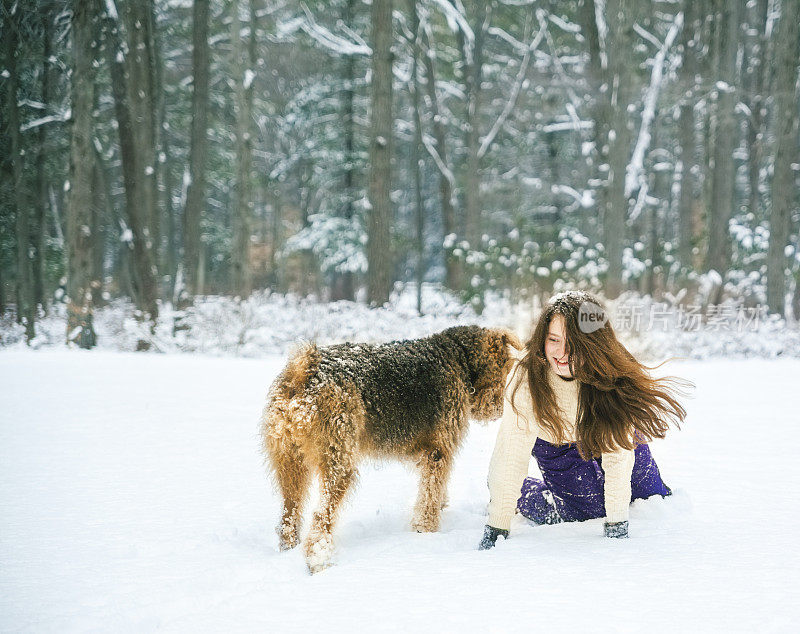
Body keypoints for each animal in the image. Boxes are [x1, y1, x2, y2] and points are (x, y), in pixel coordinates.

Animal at [262, 324, 520, 572]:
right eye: (506, 367)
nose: (499, 410)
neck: (459, 356)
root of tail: (302, 372)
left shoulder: (431, 454)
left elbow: (434, 491)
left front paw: (439, 509)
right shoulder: (439, 450)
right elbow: (430, 494)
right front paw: (426, 530)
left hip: (289, 462)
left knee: (289, 514)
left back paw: (289, 548)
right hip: (339, 462)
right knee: (321, 515)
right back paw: (319, 560)